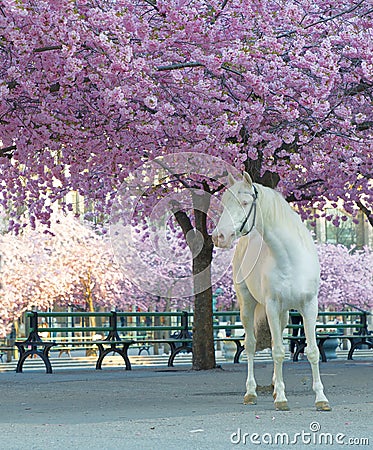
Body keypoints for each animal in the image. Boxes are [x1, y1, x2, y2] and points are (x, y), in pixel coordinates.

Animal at [211, 172, 330, 412]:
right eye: (224, 204)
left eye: (244, 203)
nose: (219, 236)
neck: (291, 258)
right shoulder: (272, 307)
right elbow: (278, 352)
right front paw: (282, 400)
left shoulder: (309, 307)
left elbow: (312, 351)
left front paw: (321, 399)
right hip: (247, 304)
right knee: (250, 345)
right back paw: (251, 393)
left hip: (283, 315)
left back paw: (274, 387)